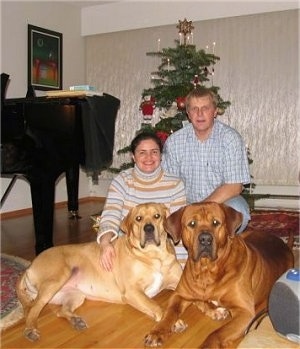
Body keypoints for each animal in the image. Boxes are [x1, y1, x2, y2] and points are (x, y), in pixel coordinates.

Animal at [17, 201, 182, 340]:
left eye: (157, 216)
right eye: (138, 218)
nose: (148, 228)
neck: (154, 255)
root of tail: (29, 267)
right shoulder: (132, 291)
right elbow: (155, 305)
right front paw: (172, 321)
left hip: (75, 294)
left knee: (60, 311)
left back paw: (76, 321)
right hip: (56, 279)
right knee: (32, 310)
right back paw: (30, 330)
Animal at [144, 201, 294, 348]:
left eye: (216, 222)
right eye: (192, 223)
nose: (205, 239)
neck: (206, 269)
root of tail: (283, 244)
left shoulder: (244, 312)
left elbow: (216, 333)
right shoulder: (179, 295)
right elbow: (169, 314)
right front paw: (157, 332)